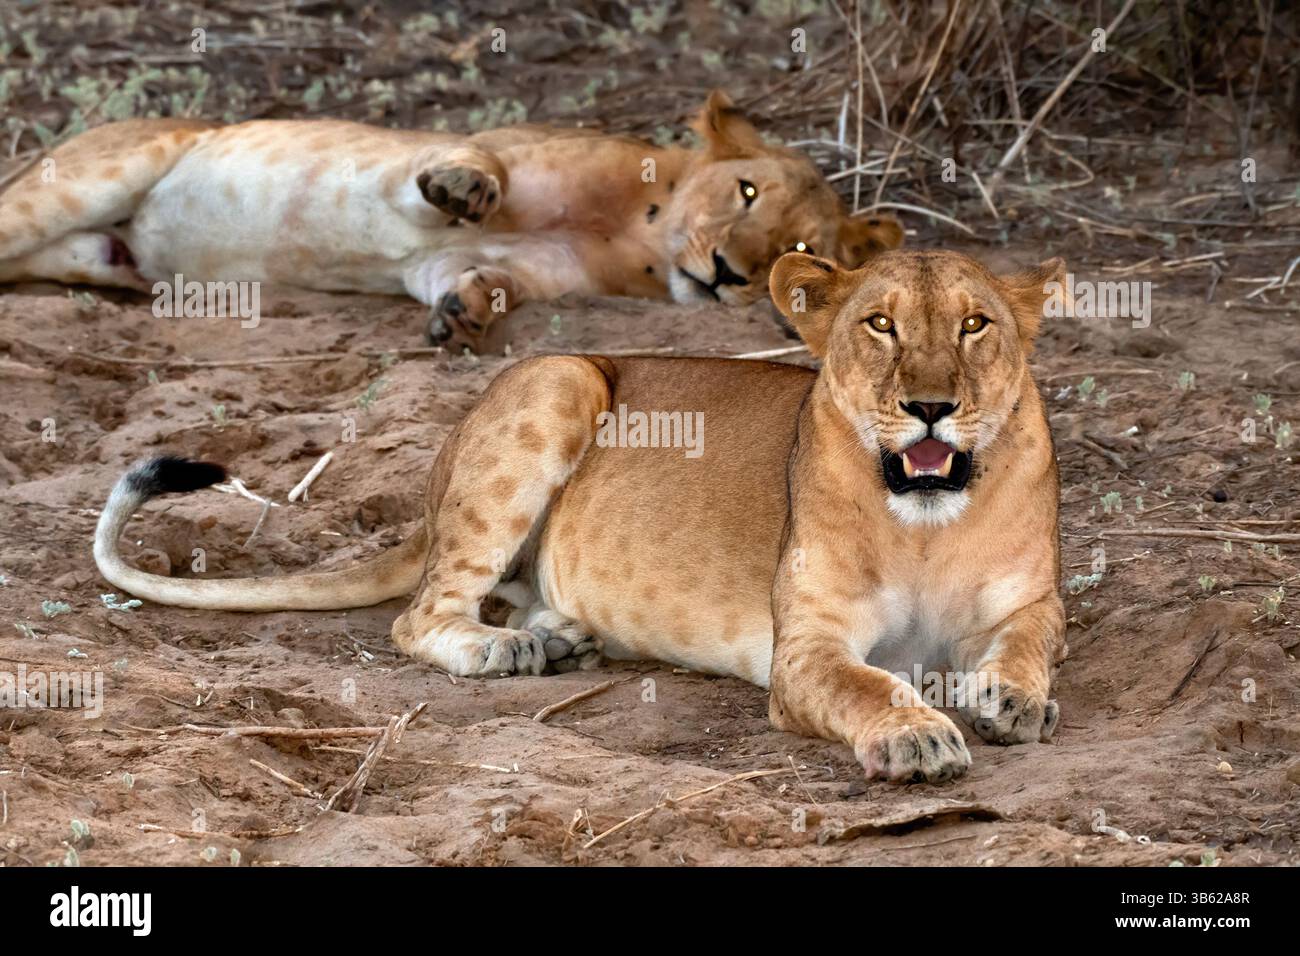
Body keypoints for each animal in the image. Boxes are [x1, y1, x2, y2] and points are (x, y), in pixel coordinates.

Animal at [0, 91, 902, 351]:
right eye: (745, 192)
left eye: (797, 248)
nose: (728, 275)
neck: (642, 233)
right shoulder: (425, 169)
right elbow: (473, 167)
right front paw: (467, 189)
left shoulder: (447, 268)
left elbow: (488, 281)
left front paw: (464, 314)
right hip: (92, 177)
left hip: (94, 253)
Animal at [92, 249, 1068, 783]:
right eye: (880, 325)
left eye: (976, 325)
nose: (932, 407)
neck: (926, 524)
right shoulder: (806, 649)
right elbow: (872, 684)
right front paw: (919, 736)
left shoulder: (1033, 602)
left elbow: (1027, 643)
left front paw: (1014, 699)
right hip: (558, 380)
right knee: (423, 613)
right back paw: (506, 650)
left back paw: (560, 637)